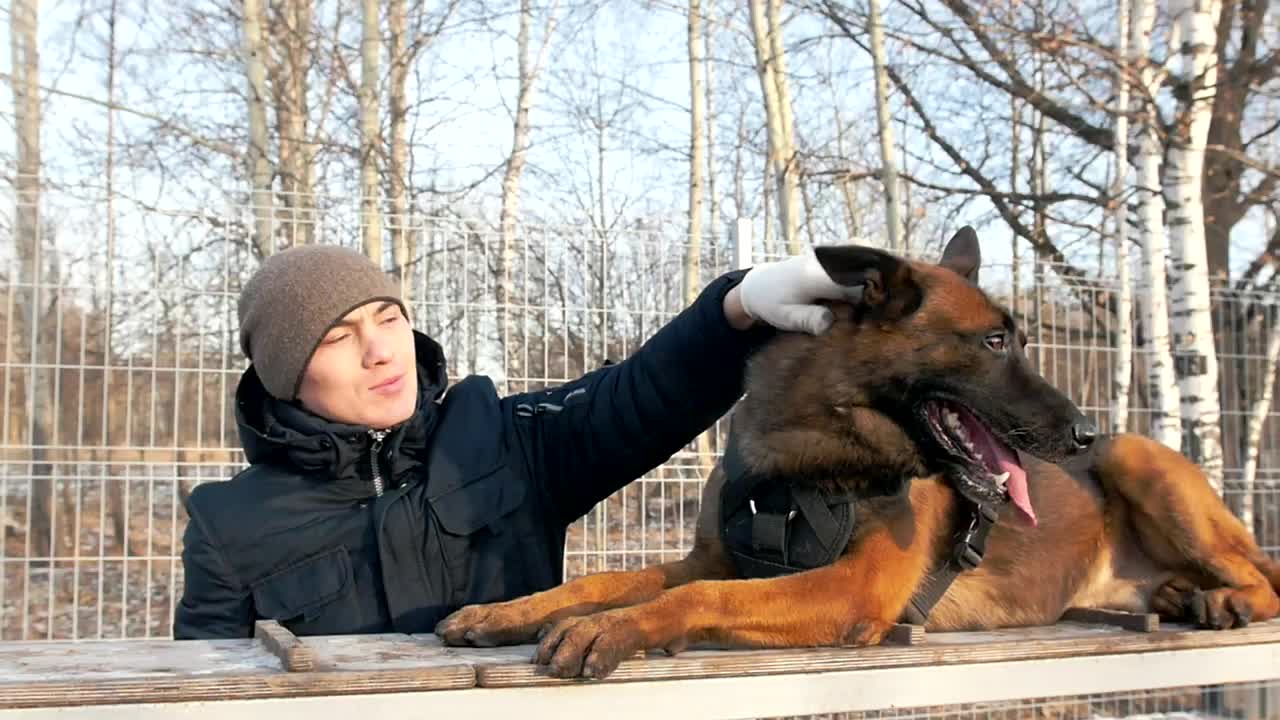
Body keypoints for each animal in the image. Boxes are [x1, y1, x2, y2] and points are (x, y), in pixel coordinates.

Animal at [432, 225, 1280, 676]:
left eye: (1019, 339)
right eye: (995, 341)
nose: (1081, 433)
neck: (812, 445)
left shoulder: (852, 588)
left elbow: (695, 598)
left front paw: (613, 629)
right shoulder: (719, 555)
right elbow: (612, 579)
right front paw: (511, 611)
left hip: (1144, 463)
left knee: (1265, 577)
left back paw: (1227, 599)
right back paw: (1181, 595)